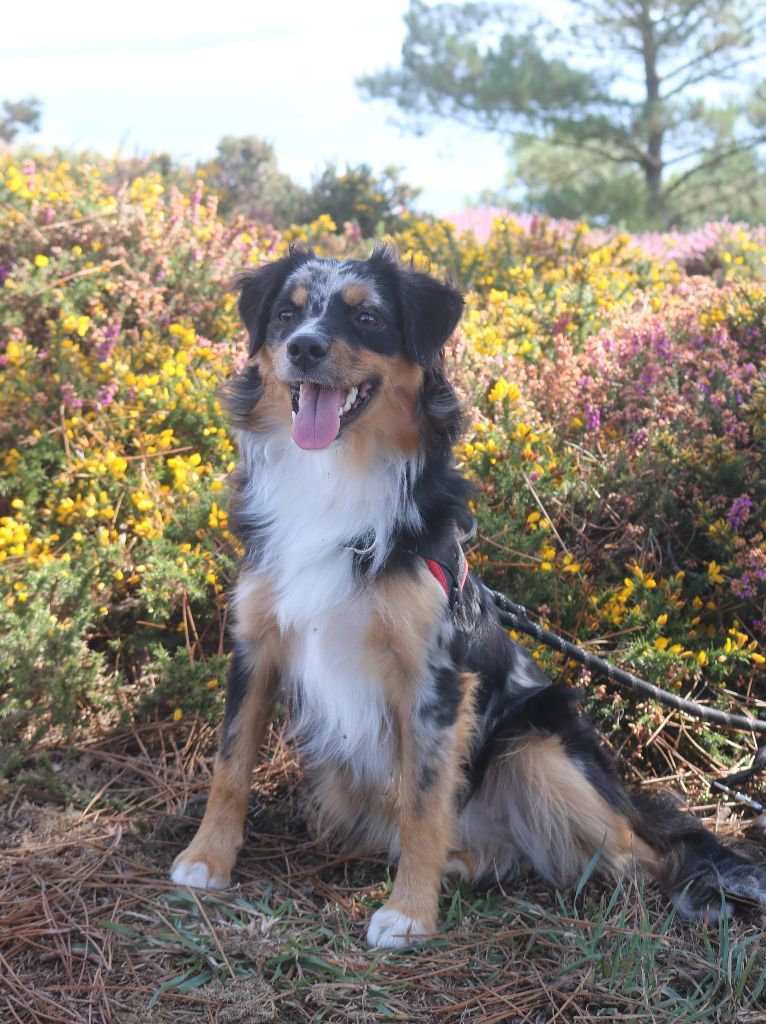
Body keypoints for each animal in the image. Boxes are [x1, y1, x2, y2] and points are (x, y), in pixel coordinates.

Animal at [172, 243, 766, 946]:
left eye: (368, 318)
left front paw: (408, 911)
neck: (334, 477)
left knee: (643, 852)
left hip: (537, 745)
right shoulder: (256, 646)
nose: (304, 347)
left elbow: (424, 803)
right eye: (287, 314)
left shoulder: (434, 679)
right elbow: (231, 765)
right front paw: (206, 859)